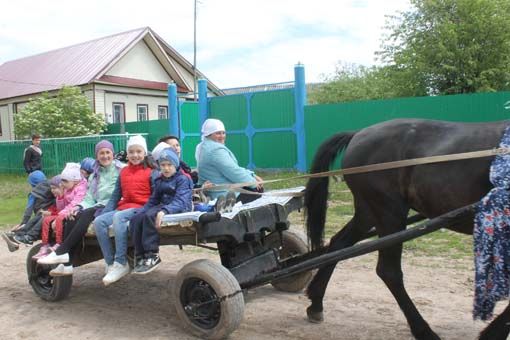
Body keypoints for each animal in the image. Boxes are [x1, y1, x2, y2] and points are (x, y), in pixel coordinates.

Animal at [302, 119, 510, 340]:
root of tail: (358, 133)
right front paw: (493, 333)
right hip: (389, 212)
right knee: (389, 271)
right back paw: (423, 330)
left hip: (368, 212)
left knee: (339, 243)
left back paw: (316, 302)